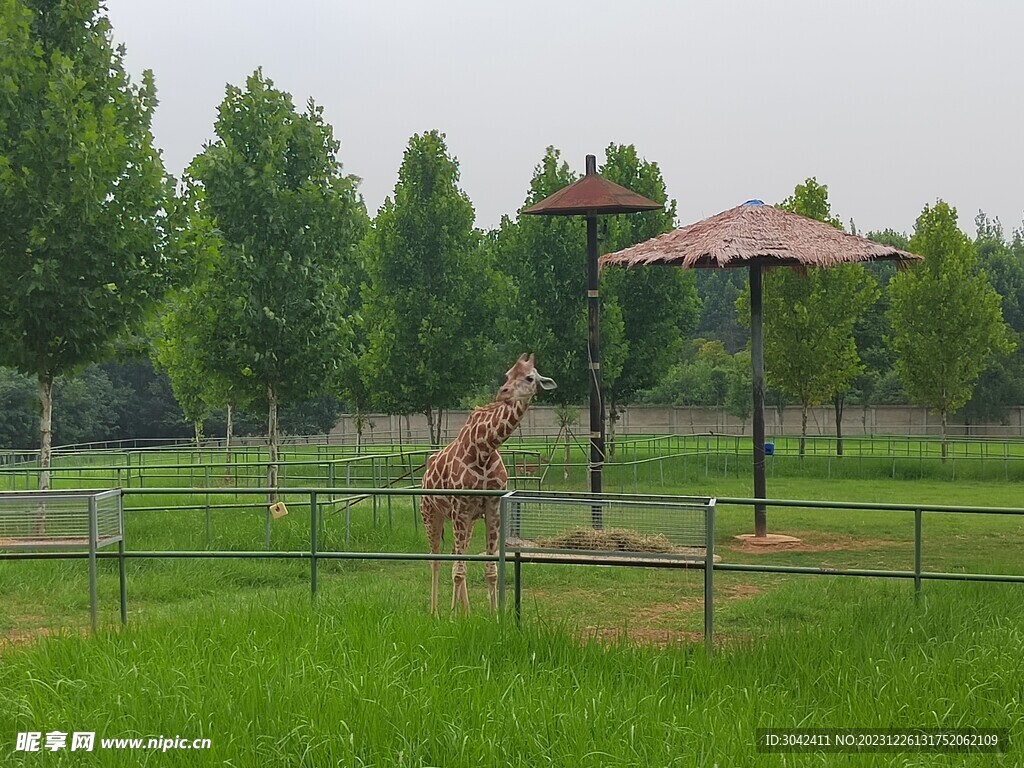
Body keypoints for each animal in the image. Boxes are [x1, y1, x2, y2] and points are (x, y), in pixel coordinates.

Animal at [419, 356, 557, 618]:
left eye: (529, 378)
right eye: (507, 374)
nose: (503, 392)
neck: (484, 448)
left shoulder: (491, 508)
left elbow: (490, 570)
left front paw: (494, 616)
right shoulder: (460, 510)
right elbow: (458, 570)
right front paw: (451, 618)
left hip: (468, 520)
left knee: (455, 554)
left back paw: (466, 612)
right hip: (431, 513)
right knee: (435, 558)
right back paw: (435, 612)